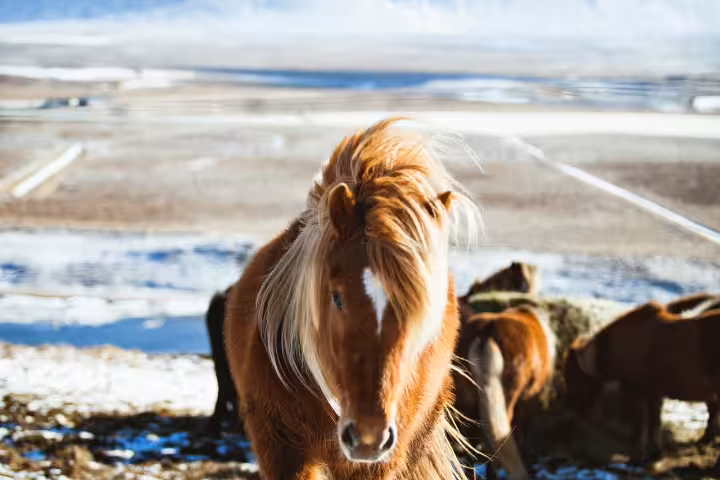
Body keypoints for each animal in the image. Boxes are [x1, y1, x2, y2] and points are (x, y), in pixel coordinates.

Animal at [453, 305, 556, 480]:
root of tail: (485, 334)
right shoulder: (528, 402)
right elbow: (523, 436)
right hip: (507, 398)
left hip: (466, 401)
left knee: (470, 444)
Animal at [564, 301, 720, 464]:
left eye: (571, 375)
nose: (569, 405)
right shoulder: (653, 392)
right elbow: (654, 423)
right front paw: (655, 453)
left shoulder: (635, 390)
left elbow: (639, 427)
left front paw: (636, 458)